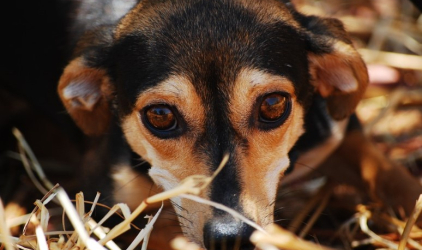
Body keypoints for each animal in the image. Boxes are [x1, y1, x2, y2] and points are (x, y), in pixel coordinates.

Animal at [53, 0, 422, 249]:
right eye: (160, 116)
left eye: (273, 105)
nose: (229, 236)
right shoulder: (114, 210)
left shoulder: (338, 135)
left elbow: (395, 179)